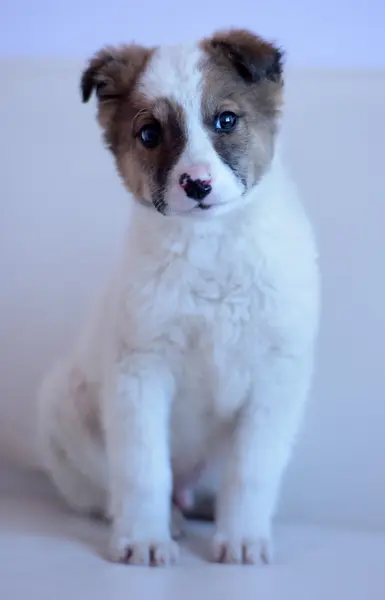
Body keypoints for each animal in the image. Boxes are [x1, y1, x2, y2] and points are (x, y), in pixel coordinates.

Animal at [39, 29, 320, 568]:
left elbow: (251, 473)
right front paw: (145, 540)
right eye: (149, 134)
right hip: (67, 408)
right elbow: (143, 469)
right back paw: (163, 520)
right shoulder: (140, 372)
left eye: (226, 120)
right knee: (110, 487)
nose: (197, 184)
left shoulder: (276, 380)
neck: (211, 245)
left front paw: (242, 539)